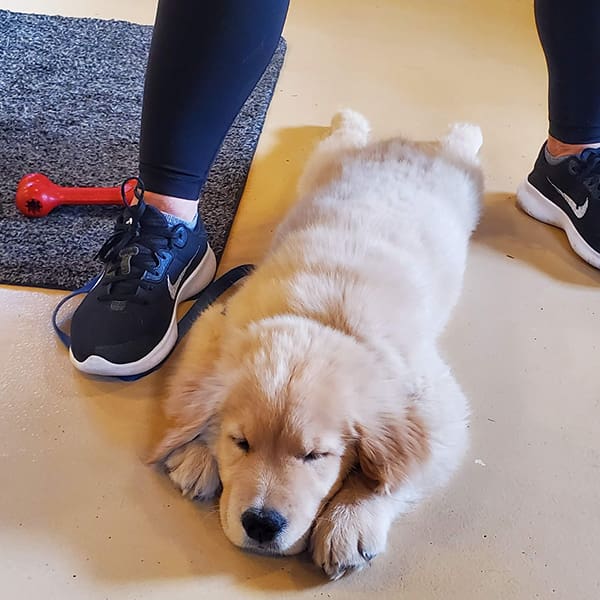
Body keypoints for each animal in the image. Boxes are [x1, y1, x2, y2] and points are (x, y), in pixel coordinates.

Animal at [150, 110, 482, 580]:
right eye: (240, 442)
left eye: (316, 455)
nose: (261, 524)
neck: (319, 319)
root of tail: (403, 143)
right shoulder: (217, 322)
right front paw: (196, 453)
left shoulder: (437, 409)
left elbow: (399, 473)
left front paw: (351, 519)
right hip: (323, 165)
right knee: (342, 138)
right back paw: (348, 120)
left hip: (467, 186)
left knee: (459, 147)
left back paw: (466, 132)